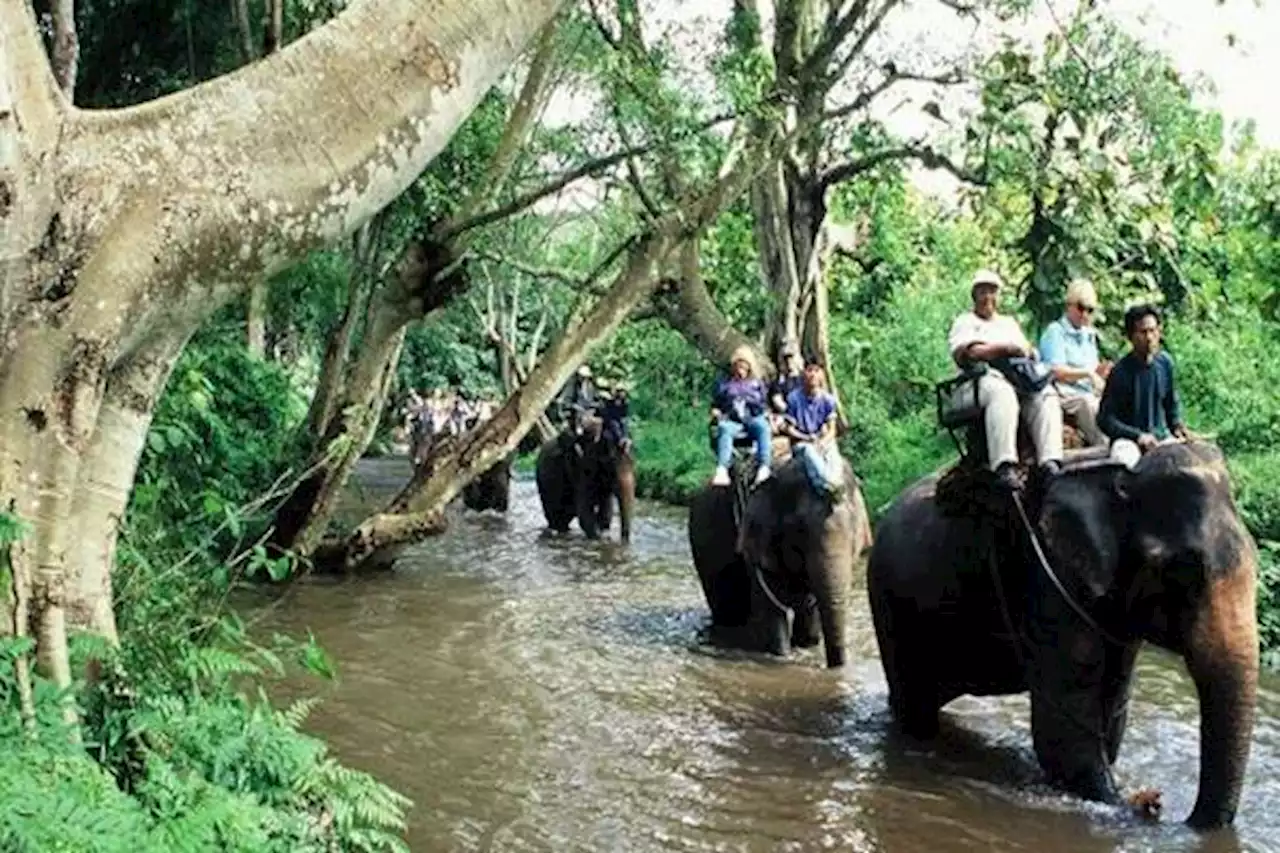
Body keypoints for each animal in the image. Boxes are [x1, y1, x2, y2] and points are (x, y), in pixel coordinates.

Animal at [691, 450, 880, 666]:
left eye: (854, 530)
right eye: (799, 529)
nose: (836, 667)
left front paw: (807, 645)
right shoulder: (753, 537)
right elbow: (772, 609)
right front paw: (781, 654)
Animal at [870, 440, 1259, 824]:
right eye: (1179, 571)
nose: (1164, 808)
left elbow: (1110, 716)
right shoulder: (1049, 578)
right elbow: (1064, 733)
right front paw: (1131, 804)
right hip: (892, 605)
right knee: (916, 707)